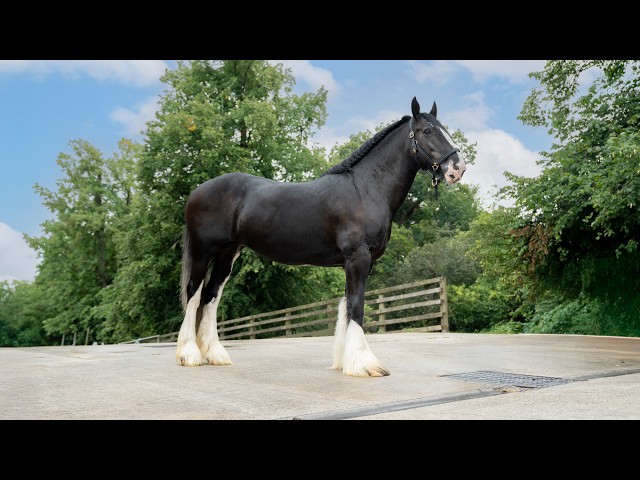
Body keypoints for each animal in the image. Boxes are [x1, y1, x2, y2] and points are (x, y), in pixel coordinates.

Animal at [176, 97, 466, 377]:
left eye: (445, 130)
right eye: (427, 131)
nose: (457, 169)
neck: (365, 189)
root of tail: (197, 191)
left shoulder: (360, 262)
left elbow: (347, 305)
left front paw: (345, 361)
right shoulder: (357, 259)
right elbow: (357, 306)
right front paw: (364, 364)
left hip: (227, 254)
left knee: (211, 295)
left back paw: (215, 354)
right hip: (203, 251)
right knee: (194, 293)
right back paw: (189, 354)